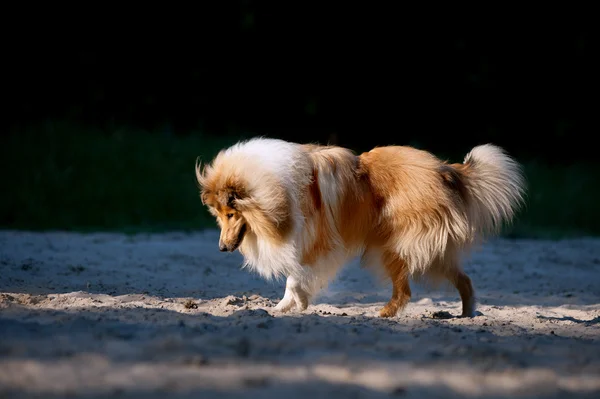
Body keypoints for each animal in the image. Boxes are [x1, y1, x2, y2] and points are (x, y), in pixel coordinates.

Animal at [195, 138, 524, 318]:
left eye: (231, 213)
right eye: (219, 215)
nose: (222, 248)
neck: (271, 187)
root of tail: (444, 169)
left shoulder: (315, 242)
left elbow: (296, 276)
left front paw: (290, 303)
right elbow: (296, 275)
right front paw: (290, 305)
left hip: (393, 246)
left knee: (406, 290)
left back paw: (387, 312)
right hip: (428, 253)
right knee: (463, 280)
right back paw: (467, 315)